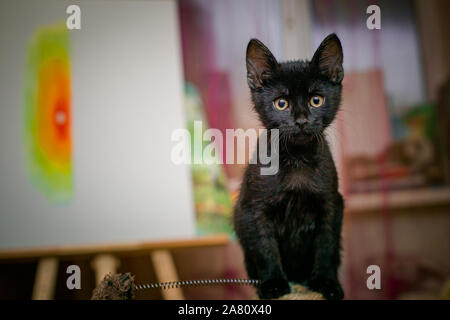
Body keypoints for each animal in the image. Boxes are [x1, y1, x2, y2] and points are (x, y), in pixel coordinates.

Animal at [236, 33, 344, 298]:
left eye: (316, 100)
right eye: (281, 103)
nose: (302, 121)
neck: (297, 159)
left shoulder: (331, 204)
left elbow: (326, 246)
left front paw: (326, 282)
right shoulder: (254, 209)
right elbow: (265, 248)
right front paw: (273, 284)